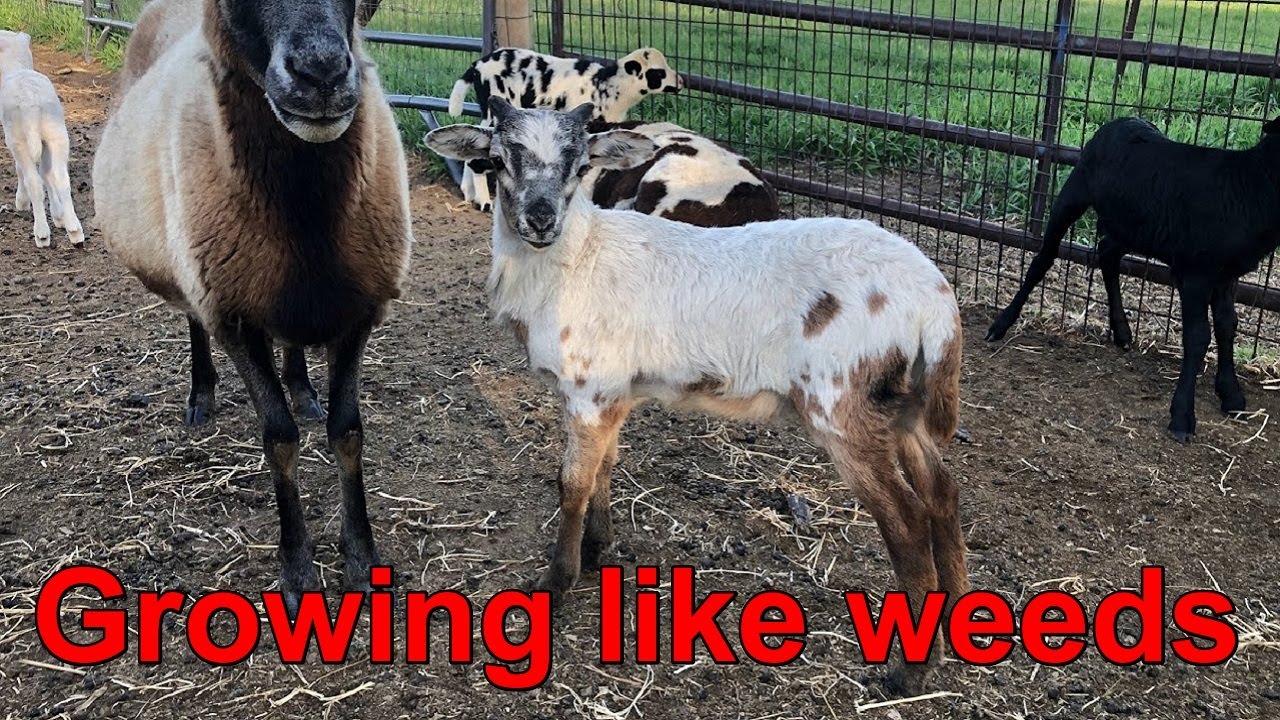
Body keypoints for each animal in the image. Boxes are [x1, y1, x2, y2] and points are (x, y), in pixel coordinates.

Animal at [0, 30, 83, 248]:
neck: (16, 66)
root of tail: (31, 102)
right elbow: (47, 173)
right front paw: (59, 216)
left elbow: (24, 171)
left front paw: (22, 201)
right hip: (56, 133)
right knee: (61, 178)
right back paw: (74, 230)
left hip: (19, 138)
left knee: (33, 181)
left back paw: (42, 233)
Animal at [93, 0, 413, 610]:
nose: (321, 73)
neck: (306, 215)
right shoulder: (234, 314)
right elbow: (280, 440)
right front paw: (297, 570)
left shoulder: (359, 308)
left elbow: (348, 433)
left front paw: (361, 559)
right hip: (189, 263)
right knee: (194, 322)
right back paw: (201, 396)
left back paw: (302, 389)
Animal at [426, 98, 967, 690]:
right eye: (498, 160)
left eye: (579, 164)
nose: (542, 219)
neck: (573, 261)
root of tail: (937, 301)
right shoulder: (612, 392)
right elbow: (604, 468)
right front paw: (598, 548)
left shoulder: (588, 389)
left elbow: (571, 484)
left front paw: (558, 581)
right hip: (901, 404)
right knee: (942, 493)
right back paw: (958, 619)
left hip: (843, 403)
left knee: (908, 520)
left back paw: (910, 673)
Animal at [448, 46, 683, 212]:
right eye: (658, 72)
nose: (681, 81)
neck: (608, 86)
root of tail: (477, 65)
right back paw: (484, 201)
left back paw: (469, 193)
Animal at [986, 116, 1280, 444]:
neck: (1250, 185)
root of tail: (1124, 119)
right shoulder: (1195, 272)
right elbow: (1198, 336)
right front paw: (1182, 417)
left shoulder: (1226, 275)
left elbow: (1228, 326)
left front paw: (1232, 396)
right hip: (1074, 193)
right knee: (1043, 260)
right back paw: (1001, 325)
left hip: (1131, 225)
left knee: (1107, 253)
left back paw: (1122, 331)